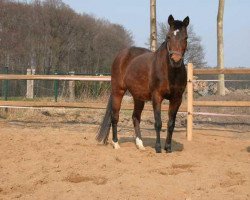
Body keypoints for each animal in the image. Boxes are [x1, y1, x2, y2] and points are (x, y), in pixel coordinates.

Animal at [95, 15, 189, 153]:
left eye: (186, 37)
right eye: (168, 37)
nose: (176, 60)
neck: (170, 72)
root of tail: (121, 55)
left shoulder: (177, 99)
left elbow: (171, 123)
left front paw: (168, 148)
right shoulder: (157, 97)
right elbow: (158, 123)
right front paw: (158, 148)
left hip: (138, 97)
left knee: (135, 117)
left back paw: (140, 144)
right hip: (118, 91)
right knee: (115, 116)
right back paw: (116, 143)